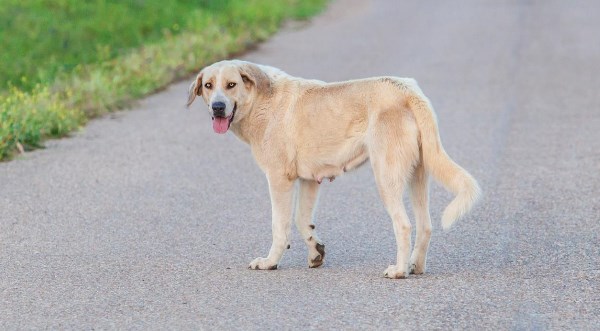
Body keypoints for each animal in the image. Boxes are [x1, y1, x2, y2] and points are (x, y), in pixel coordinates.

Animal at [185, 60, 480, 280]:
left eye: (231, 85)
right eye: (209, 86)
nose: (218, 107)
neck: (260, 100)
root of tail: (408, 91)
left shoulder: (279, 179)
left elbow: (280, 225)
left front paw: (270, 262)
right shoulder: (309, 180)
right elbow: (302, 220)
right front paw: (316, 252)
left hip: (386, 177)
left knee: (404, 225)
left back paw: (398, 271)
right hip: (417, 176)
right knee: (425, 225)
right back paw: (414, 266)